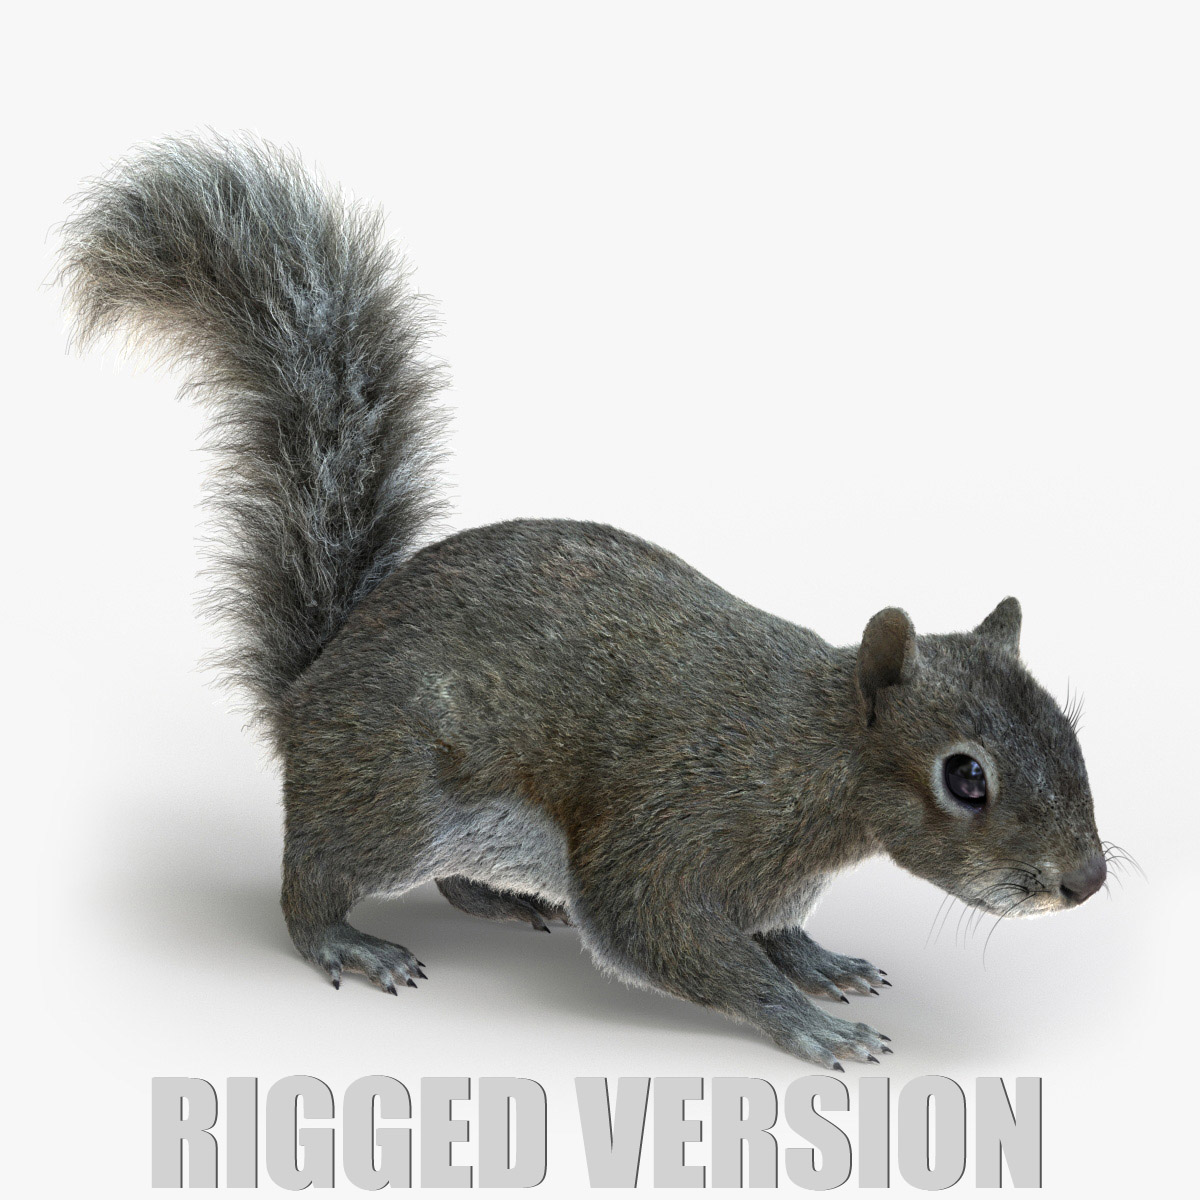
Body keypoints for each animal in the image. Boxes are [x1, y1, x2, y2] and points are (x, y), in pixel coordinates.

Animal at [59, 133, 1109, 1068]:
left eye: (1069, 731)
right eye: (965, 777)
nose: (1088, 882)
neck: (820, 757)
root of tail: (308, 689)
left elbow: (772, 936)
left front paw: (819, 962)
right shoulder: (680, 824)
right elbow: (662, 930)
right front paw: (807, 1025)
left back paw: (502, 899)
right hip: (391, 800)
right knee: (311, 880)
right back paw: (344, 941)